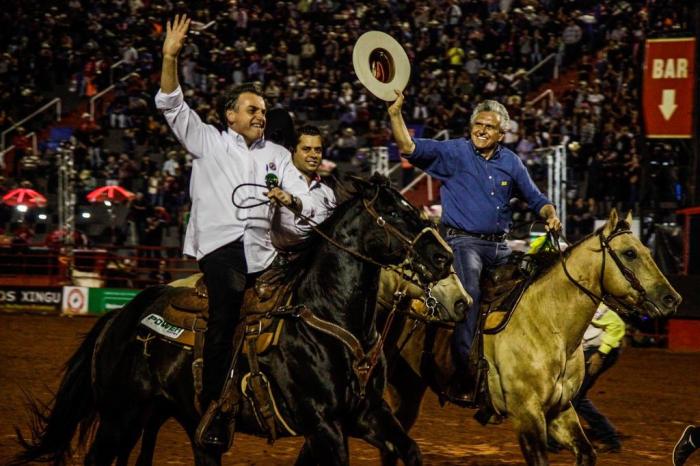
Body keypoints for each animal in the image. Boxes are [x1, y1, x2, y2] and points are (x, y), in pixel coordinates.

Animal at [15, 174, 460, 466]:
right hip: (118, 418)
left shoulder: (367, 414)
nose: (444, 257)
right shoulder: (324, 423)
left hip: (171, 419)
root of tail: (118, 319)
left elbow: (410, 450)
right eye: (394, 213)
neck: (327, 318)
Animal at [380, 211, 680, 466]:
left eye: (648, 251)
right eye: (629, 253)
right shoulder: (526, 414)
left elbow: (586, 453)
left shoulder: (560, 409)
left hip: (409, 389)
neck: (550, 325)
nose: (672, 298)